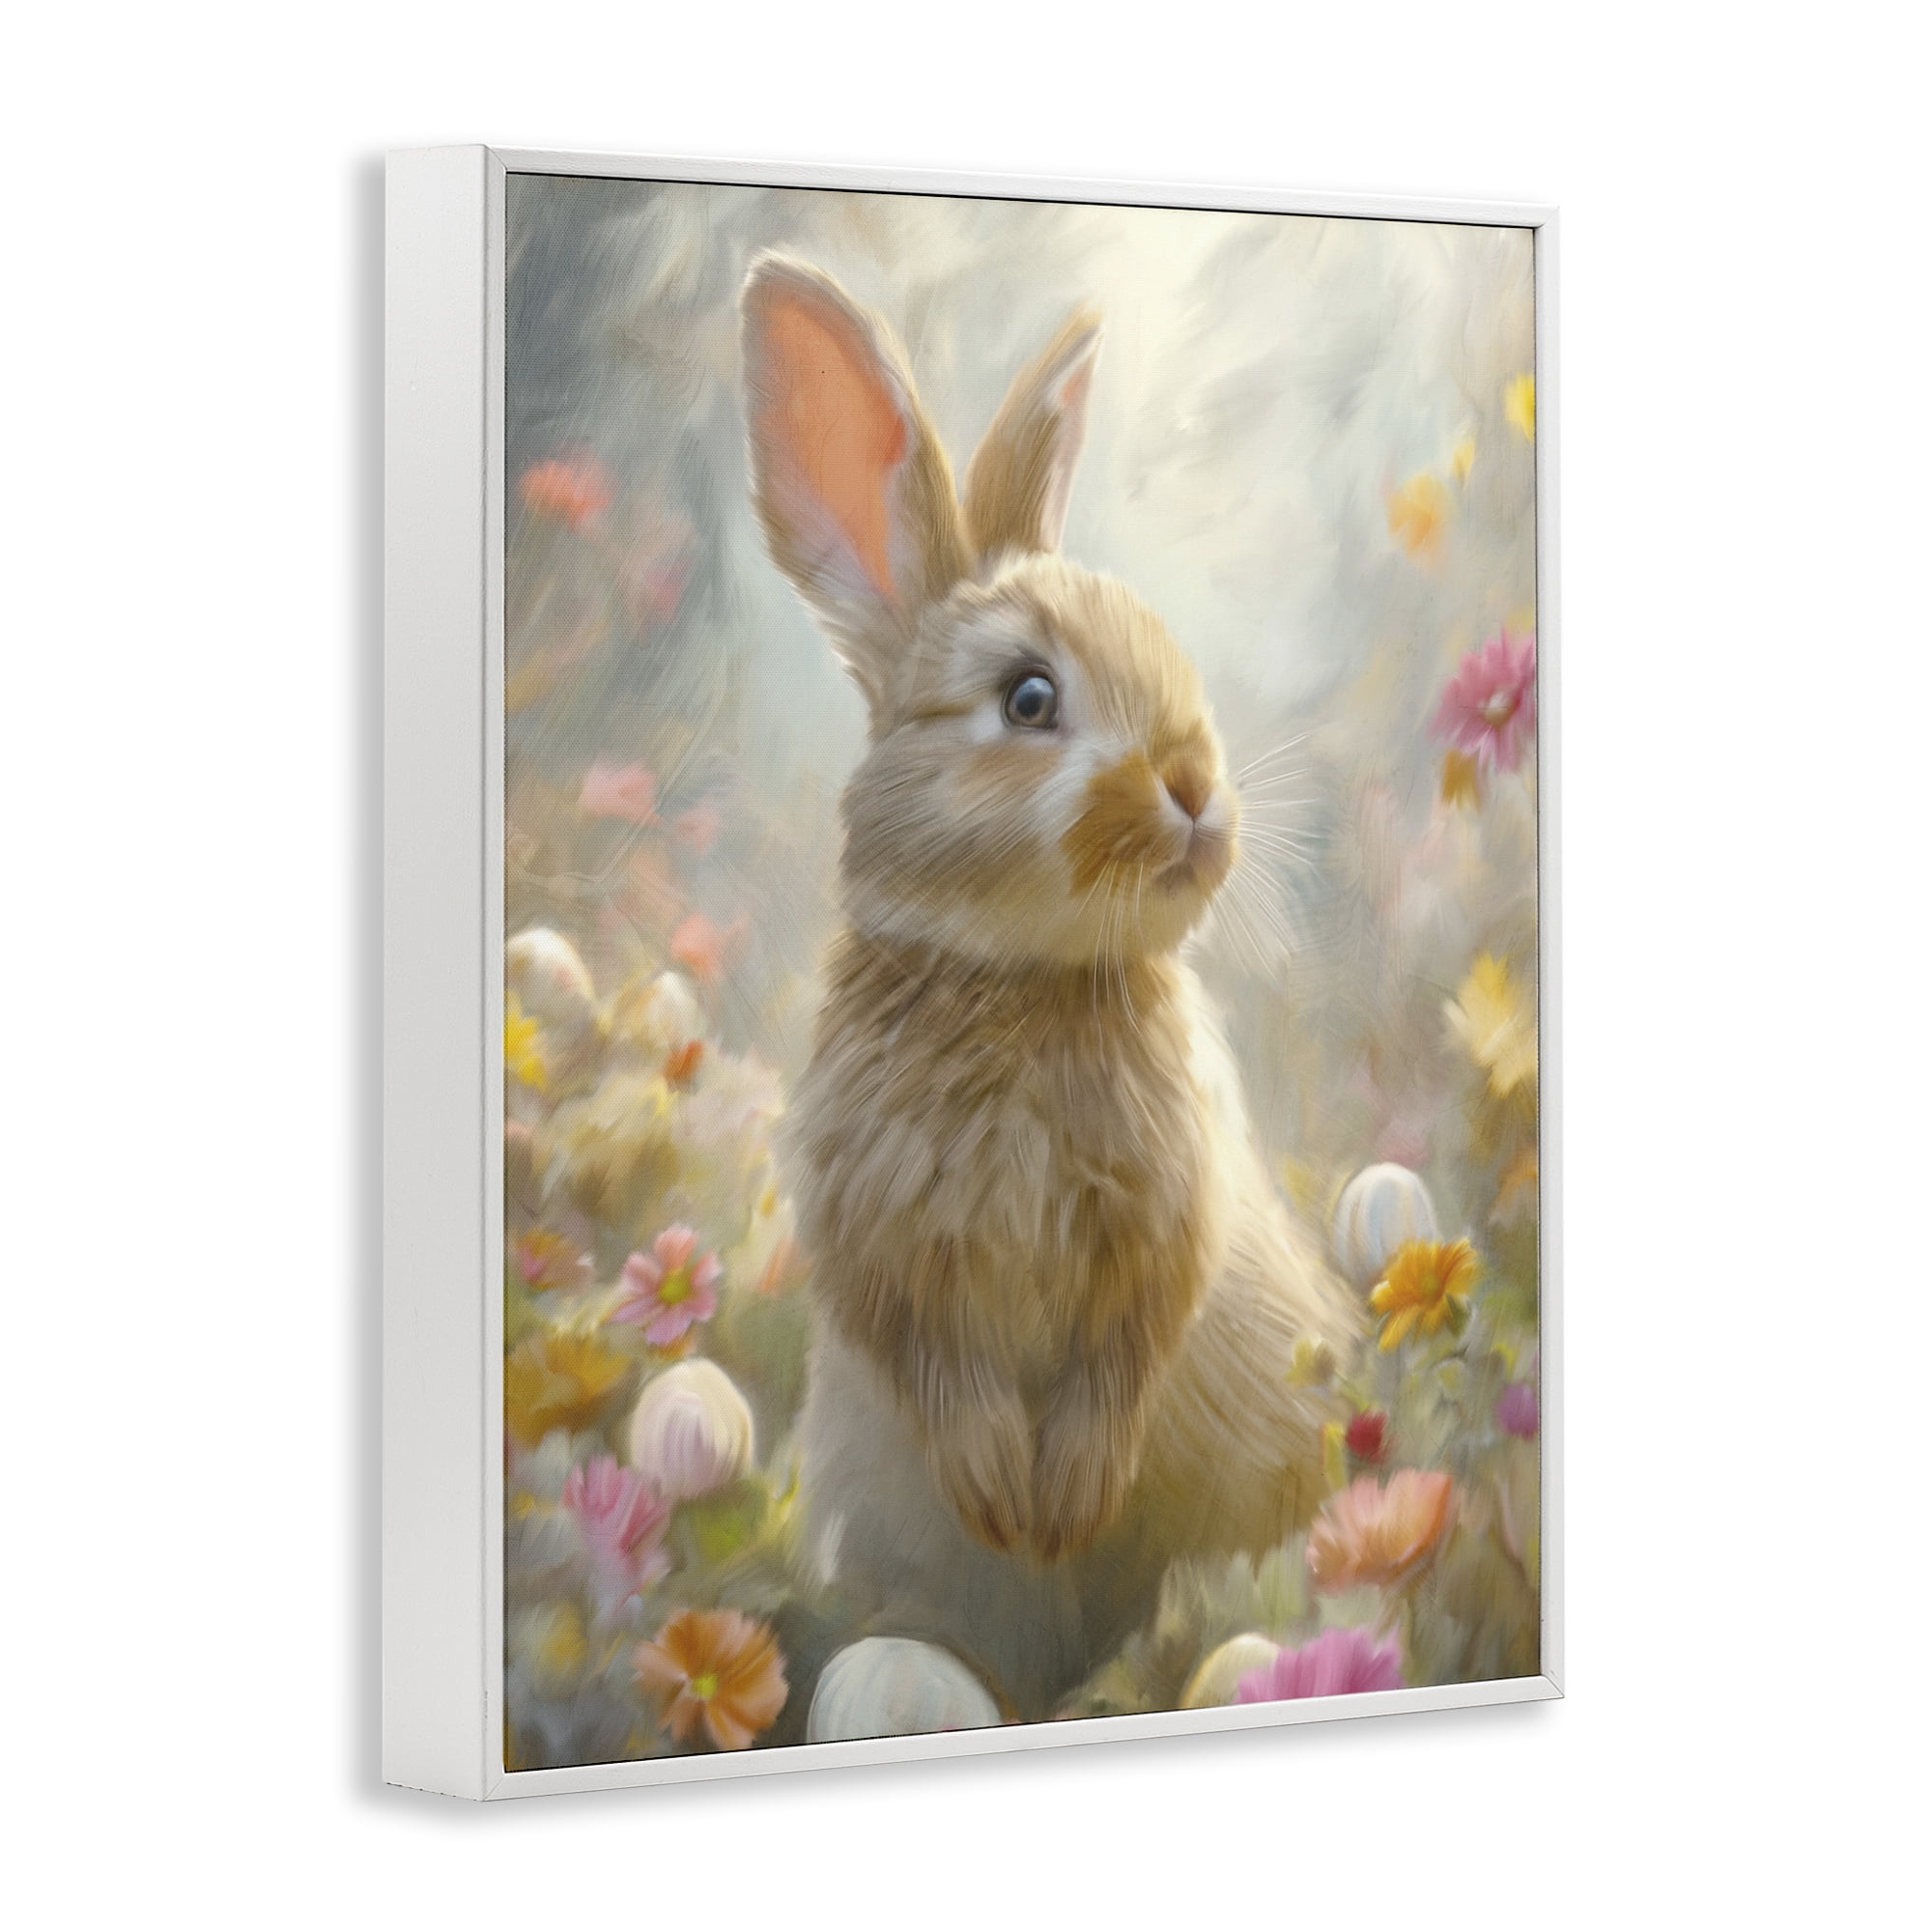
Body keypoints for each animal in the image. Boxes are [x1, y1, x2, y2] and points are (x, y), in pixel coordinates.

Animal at [739, 254, 1362, 1720]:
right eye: (1028, 698)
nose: (1196, 788)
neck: (1019, 977)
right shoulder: (883, 1232)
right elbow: (935, 1354)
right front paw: (1004, 1496)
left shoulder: (1162, 1221)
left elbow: (1125, 1348)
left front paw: (1066, 1496)